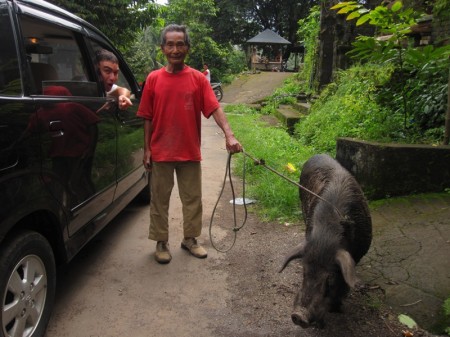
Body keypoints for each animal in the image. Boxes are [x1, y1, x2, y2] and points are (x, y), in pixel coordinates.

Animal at [280, 154, 370, 326]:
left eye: (329, 278)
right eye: (304, 273)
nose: (298, 315)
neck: (325, 237)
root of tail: (318, 155)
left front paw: (338, 309)